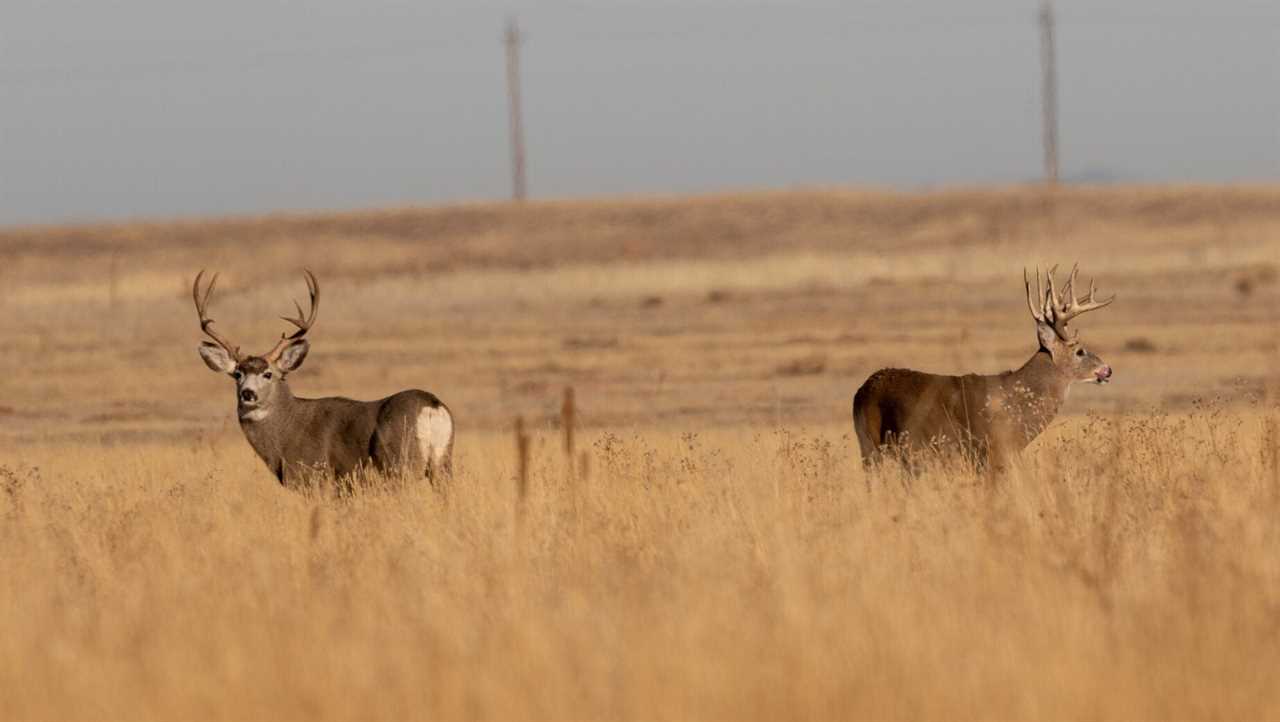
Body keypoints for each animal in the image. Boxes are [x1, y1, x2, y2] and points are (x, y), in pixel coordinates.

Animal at [186, 272, 453, 491]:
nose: (248, 393)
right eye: (237, 374)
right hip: (443, 464)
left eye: (268, 373)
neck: (286, 431)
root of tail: (432, 405)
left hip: (401, 465)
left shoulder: (315, 477)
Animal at [855, 262, 1116, 471]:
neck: (1018, 403)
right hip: (891, 446)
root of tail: (863, 390)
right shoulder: (991, 451)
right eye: (1079, 351)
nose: (1107, 370)